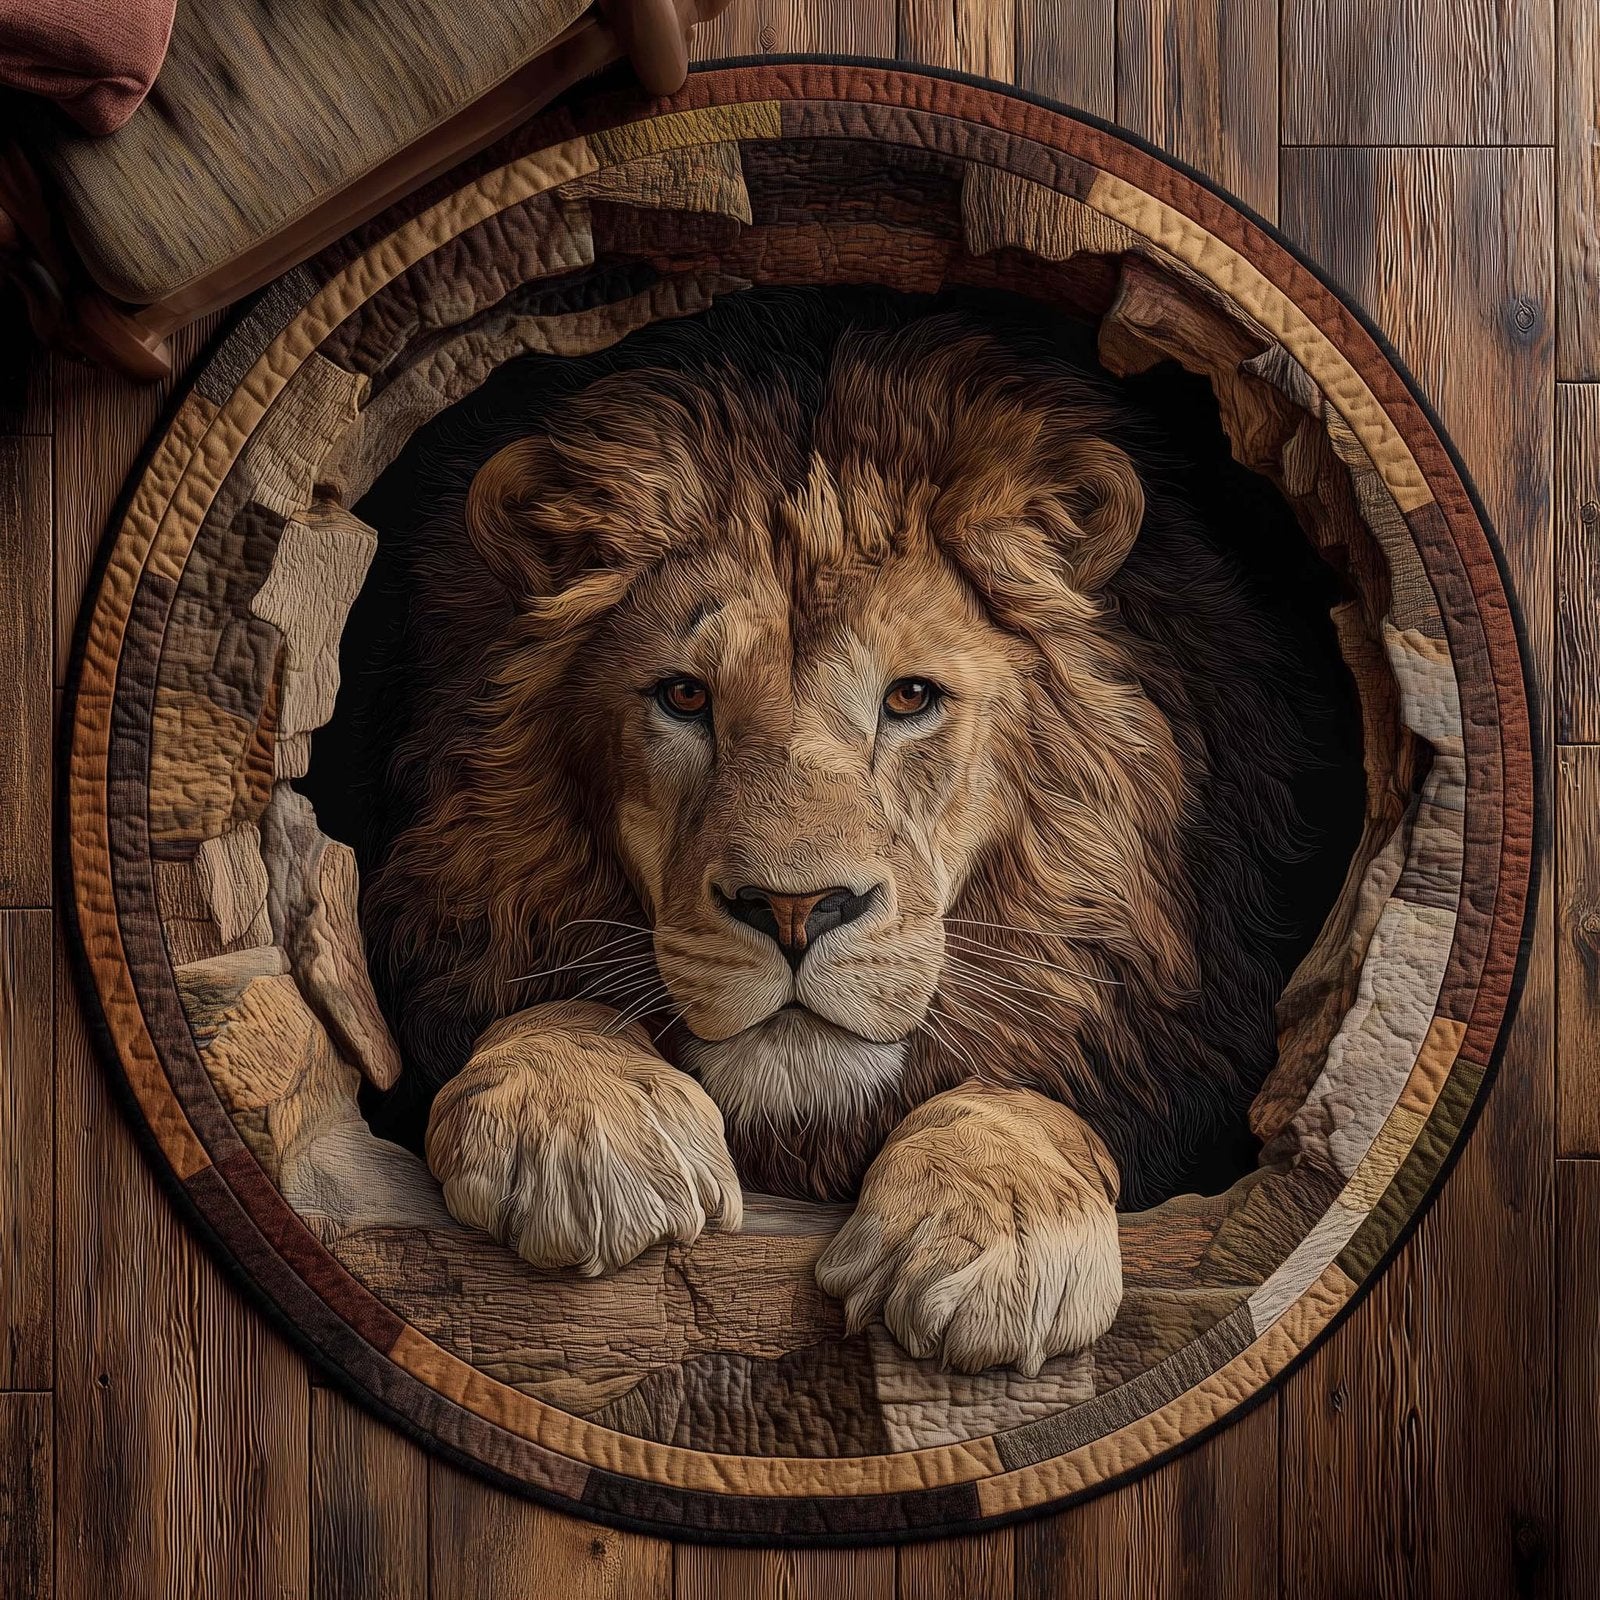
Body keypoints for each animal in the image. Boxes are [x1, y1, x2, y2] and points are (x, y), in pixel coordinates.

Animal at [353, 290, 1343, 1376]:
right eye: (683, 695)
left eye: (909, 697)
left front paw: (991, 1230)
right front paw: (577, 1127)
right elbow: (545, 1005)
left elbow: (1018, 1093)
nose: (795, 910)